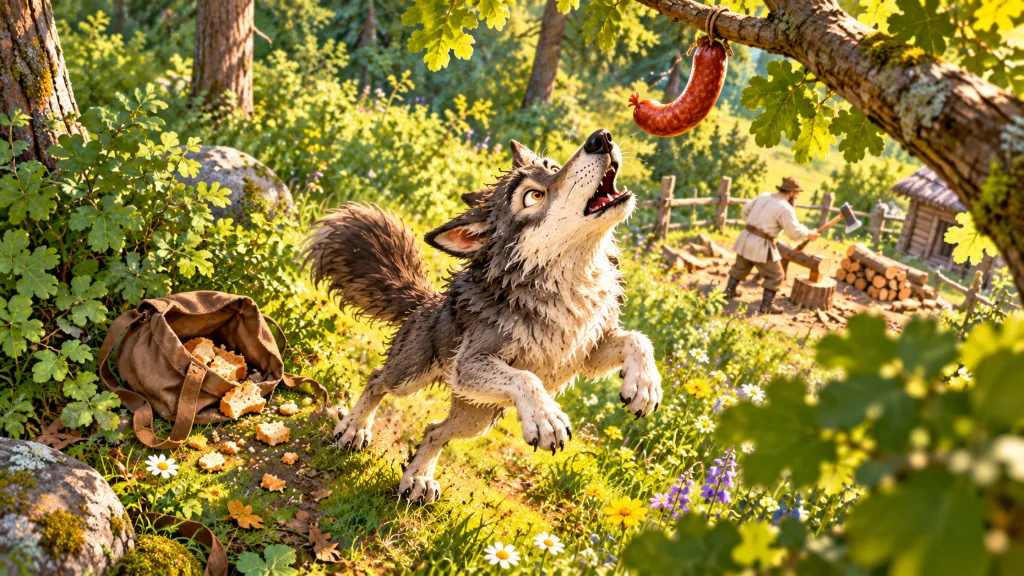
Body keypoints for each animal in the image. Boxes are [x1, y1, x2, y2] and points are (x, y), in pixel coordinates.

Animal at [302, 129, 662, 502]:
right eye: (533, 196)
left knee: (434, 431)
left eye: (553, 167)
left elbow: (638, 339)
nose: (600, 138)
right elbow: (526, 378)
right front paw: (546, 416)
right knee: (376, 379)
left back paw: (418, 480)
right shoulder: (469, 364)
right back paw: (353, 430)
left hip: (476, 419)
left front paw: (644, 386)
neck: (570, 286)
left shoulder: (587, 354)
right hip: (410, 378)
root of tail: (425, 302)